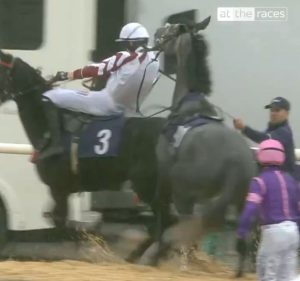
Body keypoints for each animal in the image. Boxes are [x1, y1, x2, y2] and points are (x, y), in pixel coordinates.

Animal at [0, 52, 173, 258]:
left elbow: (61, 224)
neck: (49, 130)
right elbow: (57, 220)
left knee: (164, 224)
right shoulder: (60, 190)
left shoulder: (59, 187)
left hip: (147, 186)